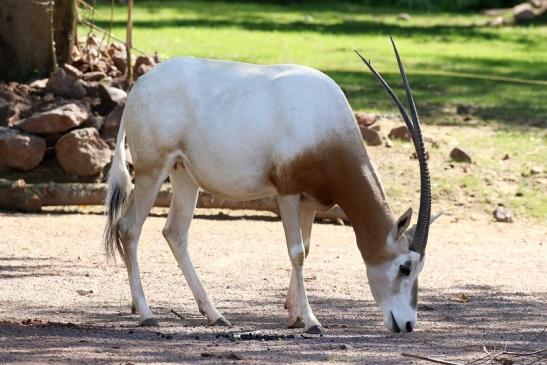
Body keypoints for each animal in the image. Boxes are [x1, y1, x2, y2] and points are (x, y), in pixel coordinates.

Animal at [103, 39, 436, 332]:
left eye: (419, 268)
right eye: (405, 267)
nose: (407, 324)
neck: (322, 122)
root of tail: (139, 86)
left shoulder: (309, 201)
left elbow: (307, 249)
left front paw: (294, 315)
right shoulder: (287, 192)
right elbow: (296, 252)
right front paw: (312, 321)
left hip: (183, 174)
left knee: (175, 232)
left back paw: (215, 315)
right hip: (152, 171)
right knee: (129, 228)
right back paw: (146, 313)